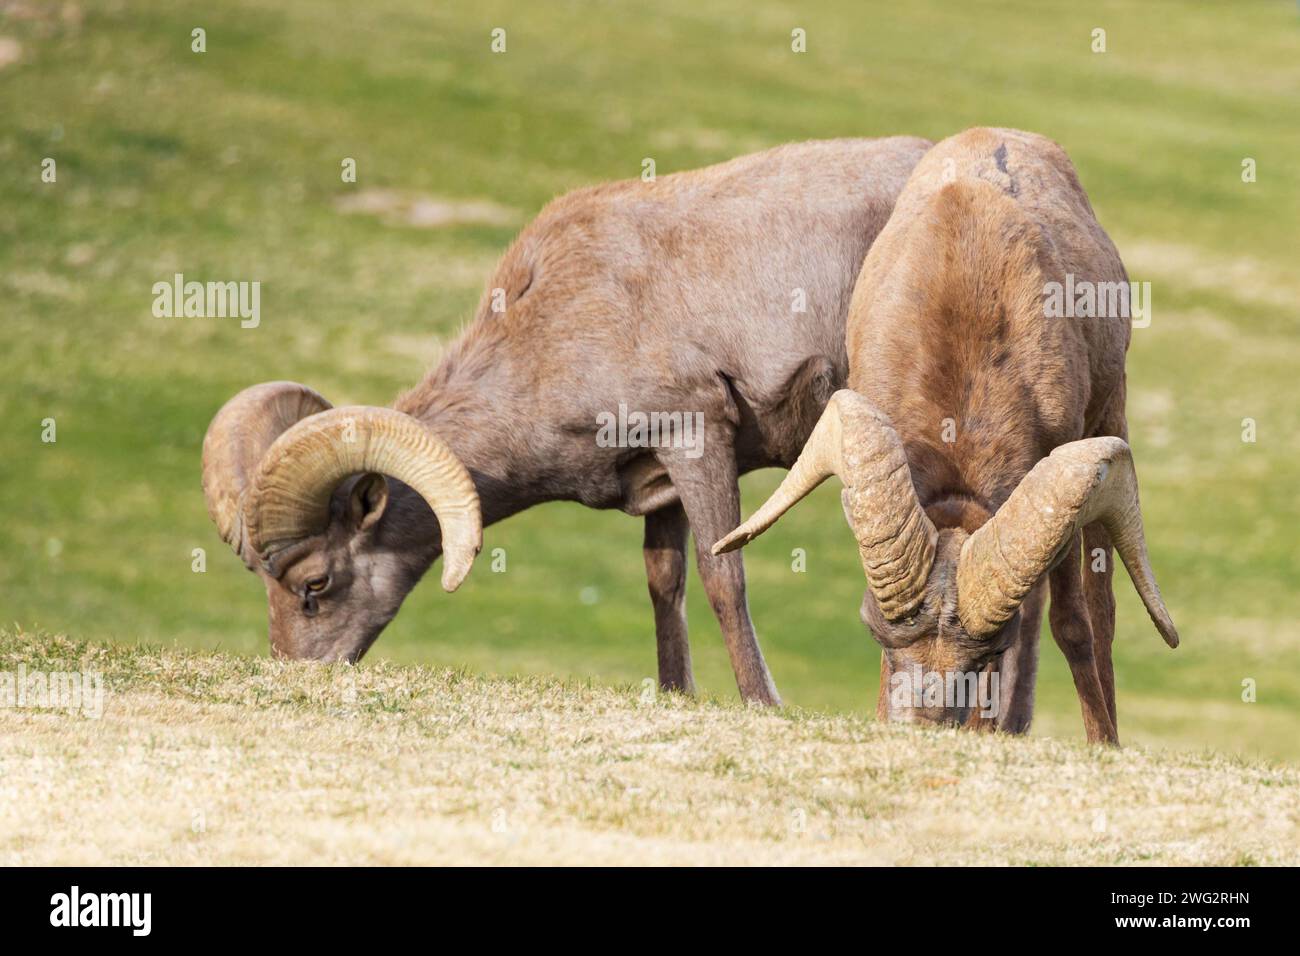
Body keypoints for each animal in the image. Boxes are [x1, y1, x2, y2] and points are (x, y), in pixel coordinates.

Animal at [201, 136, 932, 705]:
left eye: (314, 585)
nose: (297, 673)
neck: (548, 332)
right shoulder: (659, 480)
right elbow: (665, 583)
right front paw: (677, 694)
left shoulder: (697, 439)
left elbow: (724, 579)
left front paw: (763, 704)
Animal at [715, 128, 1178, 740]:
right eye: (875, 632)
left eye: (987, 654)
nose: (925, 724)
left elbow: (1072, 624)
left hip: (1112, 410)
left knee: (1099, 613)